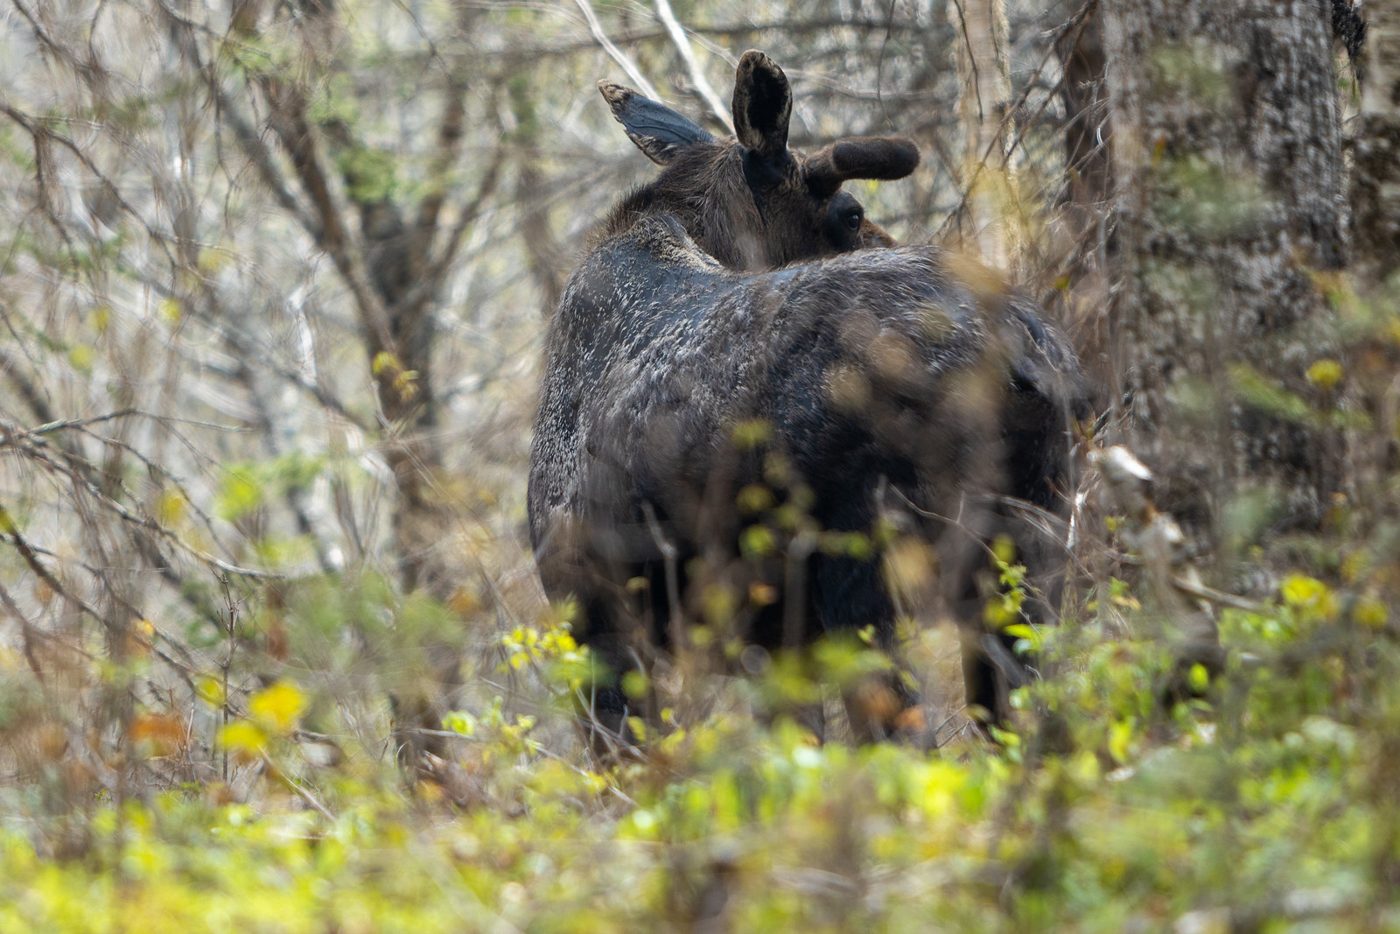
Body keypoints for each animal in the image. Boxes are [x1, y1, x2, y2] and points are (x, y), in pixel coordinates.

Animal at [529, 51, 1086, 748]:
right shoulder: (767, 647)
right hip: (1030, 552)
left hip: (867, 570)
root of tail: (1020, 348)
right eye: (851, 214)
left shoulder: (593, 617)